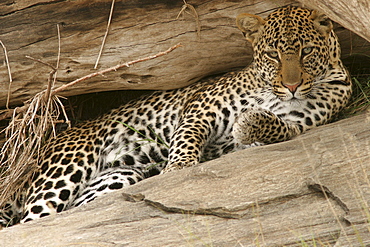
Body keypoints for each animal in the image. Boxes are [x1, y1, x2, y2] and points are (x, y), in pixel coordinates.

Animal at [0, 5, 352, 227]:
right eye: (272, 55)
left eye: (307, 52)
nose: (291, 85)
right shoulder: (201, 106)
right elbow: (187, 137)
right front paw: (177, 169)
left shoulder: (299, 124)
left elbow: (273, 123)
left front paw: (246, 124)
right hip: (67, 167)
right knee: (28, 221)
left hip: (117, 177)